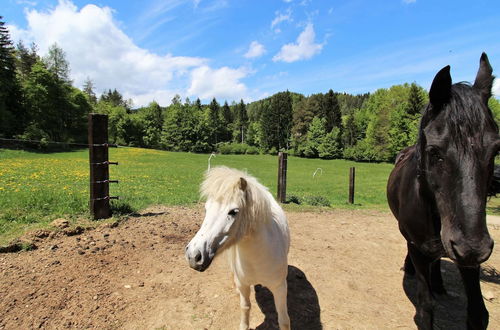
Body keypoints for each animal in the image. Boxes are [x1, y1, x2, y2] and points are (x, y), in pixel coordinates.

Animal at [186, 168, 292, 330]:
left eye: (233, 212)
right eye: (206, 208)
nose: (193, 256)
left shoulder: (280, 287)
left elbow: (284, 320)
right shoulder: (243, 285)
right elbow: (245, 307)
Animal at [386, 52, 500, 328]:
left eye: (496, 149)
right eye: (434, 151)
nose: (473, 247)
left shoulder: (467, 260)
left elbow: (479, 313)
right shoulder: (418, 245)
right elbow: (425, 307)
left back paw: (438, 282)